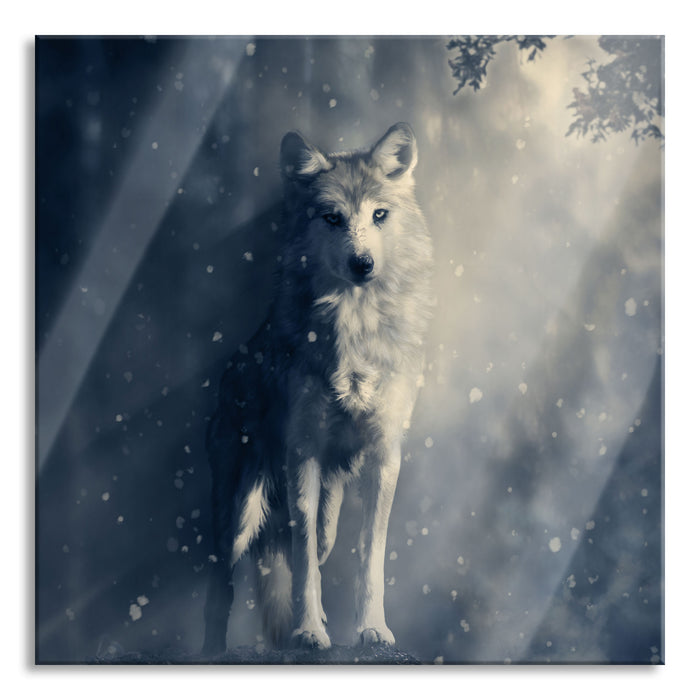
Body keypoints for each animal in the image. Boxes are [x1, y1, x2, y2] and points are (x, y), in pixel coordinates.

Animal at [202, 122, 434, 654]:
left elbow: (370, 557)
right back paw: (214, 649)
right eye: (332, 218)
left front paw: (373, 630)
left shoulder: (384, 454)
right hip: (239, 516)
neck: (357, 329)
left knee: (309, 548)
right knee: (223, 582)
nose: (362, 263)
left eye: (379, 215)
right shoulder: (302, 451)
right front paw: (309, 632)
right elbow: (304, 559)